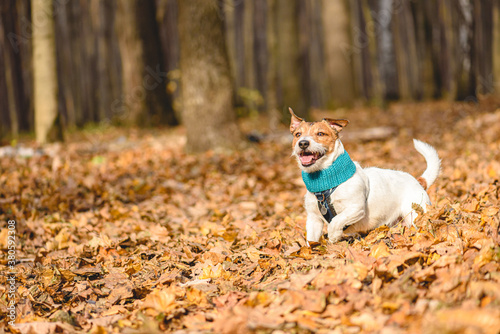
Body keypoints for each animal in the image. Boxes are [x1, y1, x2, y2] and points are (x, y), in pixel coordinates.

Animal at [290, 108, 442, 244]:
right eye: (298, 134)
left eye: (320, 133)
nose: (303, 143)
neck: (325, 184)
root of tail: (418, 181)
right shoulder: (313, 219)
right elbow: (311, 241)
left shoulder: (356, 208)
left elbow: (336, 221)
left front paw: (333, 236)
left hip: (415, 213)